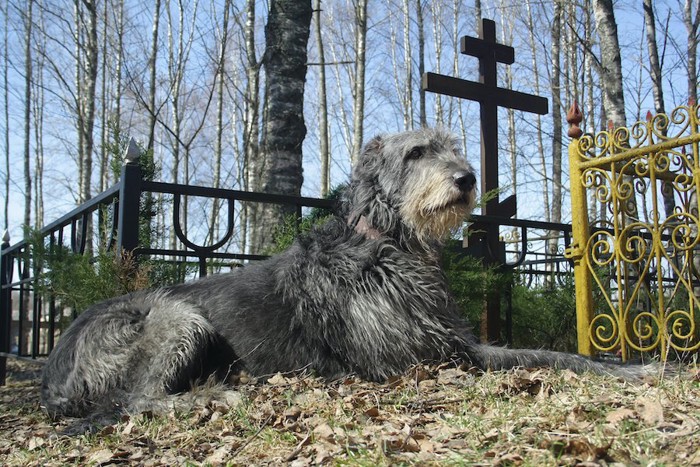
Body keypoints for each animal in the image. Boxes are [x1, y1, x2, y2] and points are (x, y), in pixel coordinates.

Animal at [43, 128, 636, 420]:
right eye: (416, 152)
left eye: (453, 148)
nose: (467, 179)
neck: (385, 242)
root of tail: (55, 373)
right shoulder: (425, 361)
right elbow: (543, 359)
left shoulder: (452, 342)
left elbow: (555, 355)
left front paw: (631, 367)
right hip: (176, 317)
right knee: (135, 399)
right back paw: (211, 397)